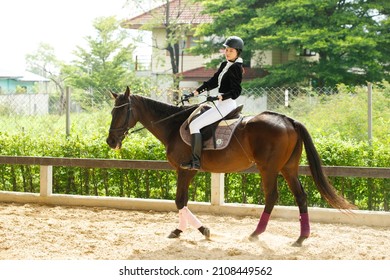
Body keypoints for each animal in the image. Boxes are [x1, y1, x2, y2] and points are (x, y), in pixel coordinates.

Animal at [105, 86, 354, 246]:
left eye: (122, 111)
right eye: (111, 111)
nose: (110, 141)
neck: (174, 126)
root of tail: (288, 120)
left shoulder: (186, 169)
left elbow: (179, 201)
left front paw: (202, 230)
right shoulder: (183, 171)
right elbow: (181, 201)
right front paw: (180, 230)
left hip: (269, 168)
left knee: (271, 196)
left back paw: (256, 233)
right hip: (288, 168)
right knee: (300, 196)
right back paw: (301, 238)